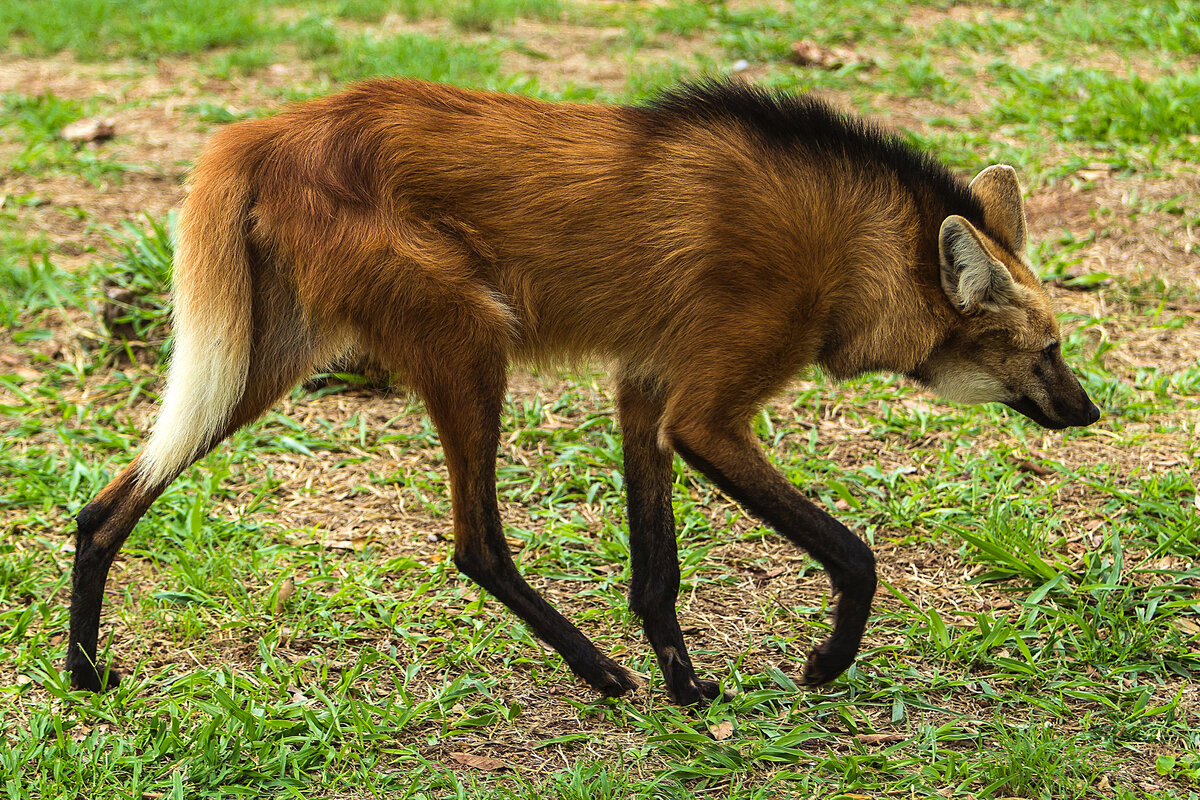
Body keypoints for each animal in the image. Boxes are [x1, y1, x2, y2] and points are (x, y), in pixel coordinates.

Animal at [65, 79, 1099, 705]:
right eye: (1048, 349)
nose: (1090, 410)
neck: (853, 250)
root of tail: (262, 129)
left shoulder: (646, 387)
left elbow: (656, 568)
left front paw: (687, 689)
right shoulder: (705, 415)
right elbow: (854, 554)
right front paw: (820, 663)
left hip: (261, 364)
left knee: (106, 505)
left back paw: (83, 671)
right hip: (470, 338)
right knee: (477, 544)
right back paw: (599, 673)